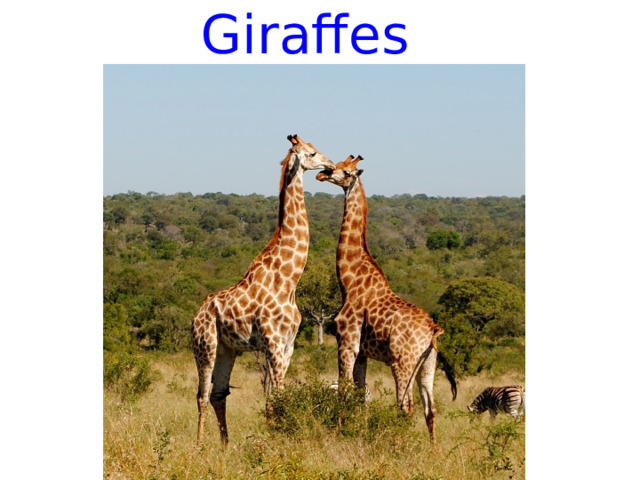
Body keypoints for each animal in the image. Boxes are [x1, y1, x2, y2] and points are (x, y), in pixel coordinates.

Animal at [192, 134, 335, 445]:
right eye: (312, 153)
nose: (330, 165)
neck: (289, 280)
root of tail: (196, 314)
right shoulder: (272, 343)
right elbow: (277, 396)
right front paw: (277, 440)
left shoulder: (288, 345)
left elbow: (274, 397)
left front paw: (276, 436)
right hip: (205, 346)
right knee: (202, 394)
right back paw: (198, 446)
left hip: (227, 349)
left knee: (218, 394)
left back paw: (225, 445)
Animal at [316, 155, 457, 443]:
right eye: (335, 163)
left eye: (345, 172)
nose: (323, 174)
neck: (348, 279)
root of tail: (433, 329)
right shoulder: (362, 352)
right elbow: (359, 395)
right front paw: (356, 433)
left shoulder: (347, 342)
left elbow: (344, 390)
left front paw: (338, 432)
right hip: (427, 364)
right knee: (430, 408)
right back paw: (433, 450)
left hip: (402, 362)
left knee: (406, 406)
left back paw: (400, 445)